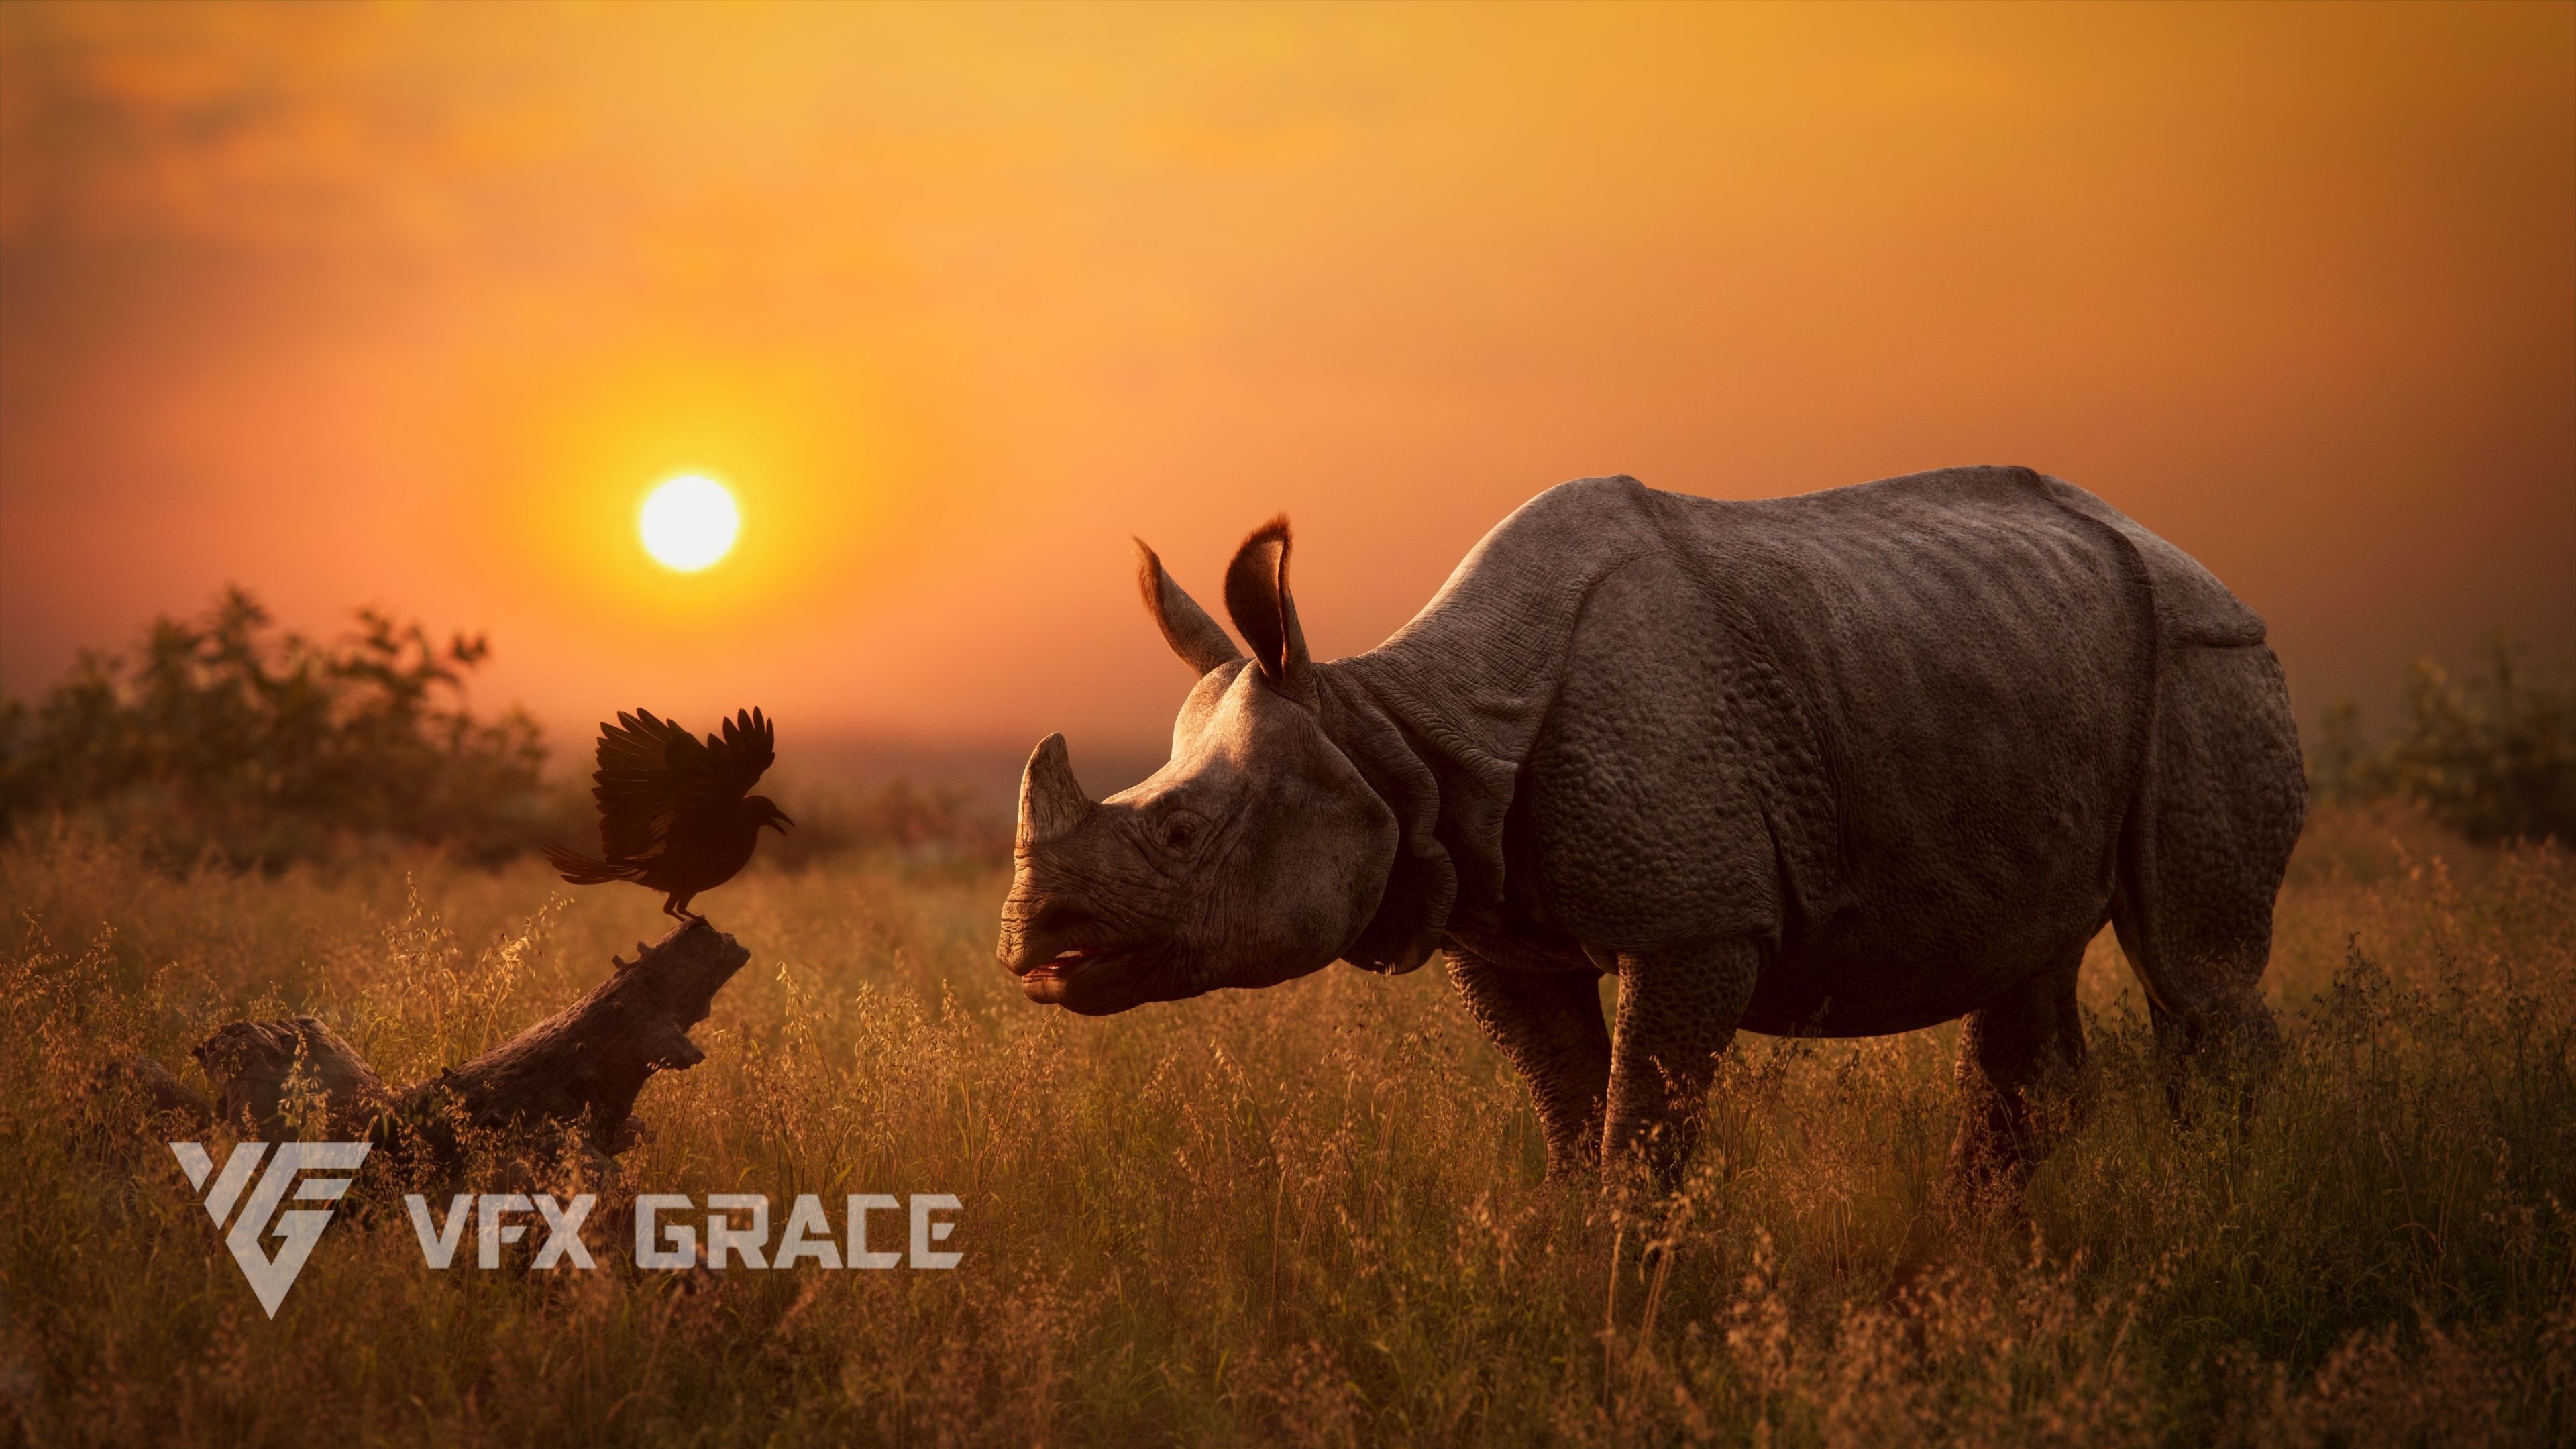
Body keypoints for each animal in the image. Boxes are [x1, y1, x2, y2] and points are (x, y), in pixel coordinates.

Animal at [998, 467, 2305, 1185]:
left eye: (1179, 835)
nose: (1028, 943)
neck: (1399, 734)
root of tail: (2201, 563)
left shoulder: (1696, 925)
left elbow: (1643, 1140)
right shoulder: (1497, 928)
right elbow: (1576, 1131)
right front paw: (1580, 1296)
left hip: (2203, 653)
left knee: (2196, 974)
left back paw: (2233, 1224)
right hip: (2012, 654)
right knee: (2026, 970)